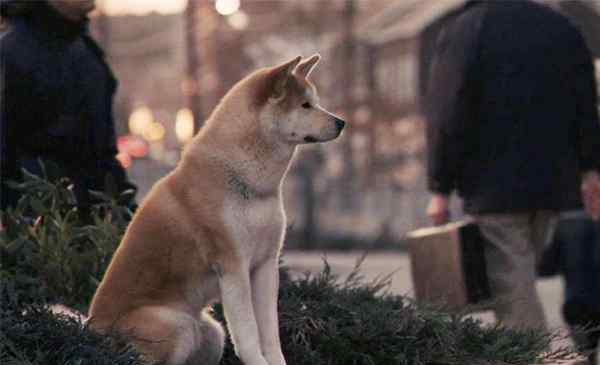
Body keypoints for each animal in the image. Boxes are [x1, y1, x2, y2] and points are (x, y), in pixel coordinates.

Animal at [86, 54, 344, 364]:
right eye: (305, 105)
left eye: (315, 102)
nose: (342, 122)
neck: (247, 184)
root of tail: (91, 329)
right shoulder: (233, 266)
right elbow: (248, 336)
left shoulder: (266, 265)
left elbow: (270, 336)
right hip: (177, 326)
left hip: (211, 334)